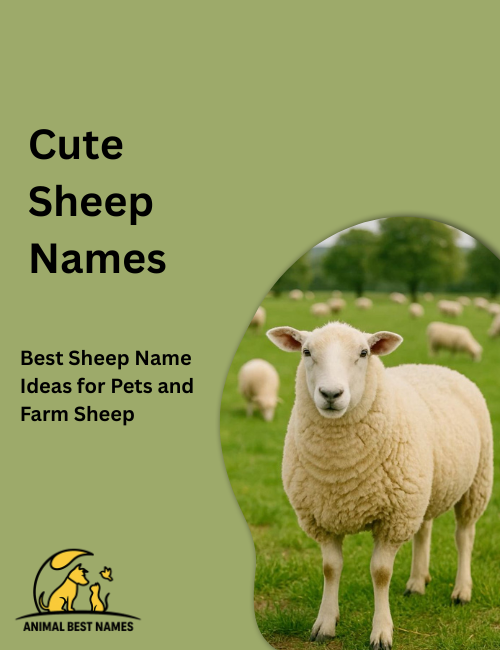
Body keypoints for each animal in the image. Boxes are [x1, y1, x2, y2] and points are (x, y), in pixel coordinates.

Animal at [267, 322, 492, 649]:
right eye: (306, 352)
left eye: (364, 353)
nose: (331, 394)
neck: (340, 469)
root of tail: (434, 366)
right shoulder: (322, 518)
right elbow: (330, 569)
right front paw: (325, 623)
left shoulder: (393, 519)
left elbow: (381, 573)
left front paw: (381, 632)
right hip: (420, 490)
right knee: (424, 531)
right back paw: (417, 582)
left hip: (476, 481)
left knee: (464, 536)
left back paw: (461, 590)